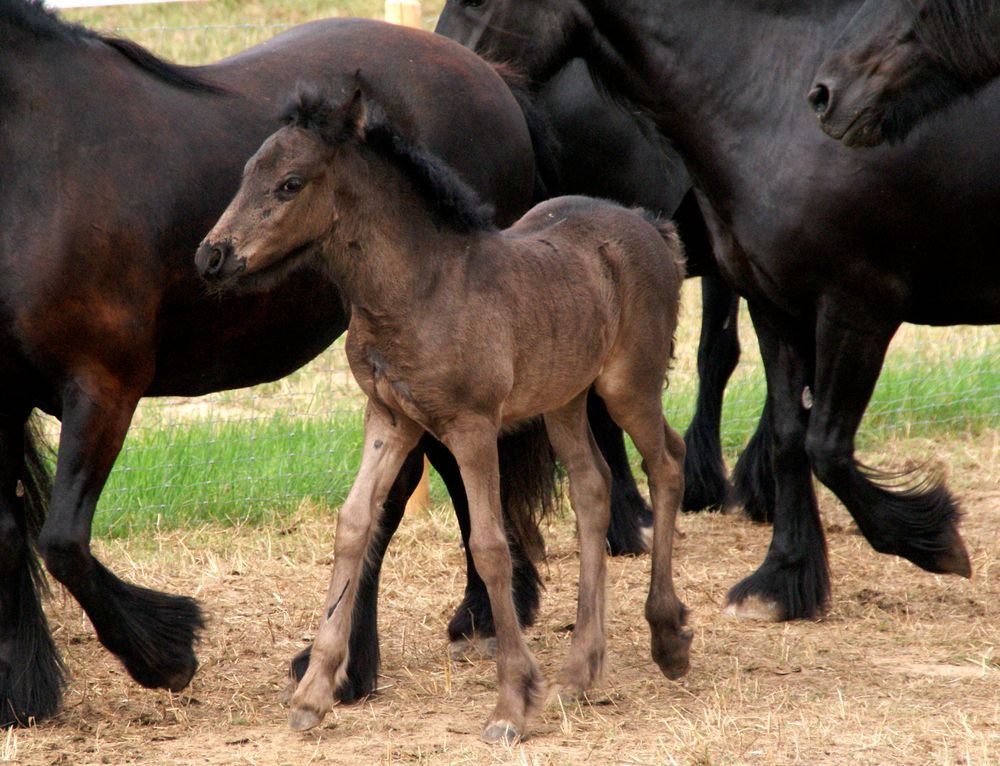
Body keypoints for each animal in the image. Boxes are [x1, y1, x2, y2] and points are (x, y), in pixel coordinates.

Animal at [199, 87, 692, 748]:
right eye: (248, 172)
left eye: (290, 184)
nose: (211, 256)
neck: (416, 291)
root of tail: (649, 224)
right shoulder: (388, 418)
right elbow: (353, 524)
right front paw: (314, 693)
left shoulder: (471, 427)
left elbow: (489, 545)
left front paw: (511, 704)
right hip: (562, 397)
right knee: (592, 487)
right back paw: (578, 671)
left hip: (626, 384)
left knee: (666, 462)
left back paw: (667, 637)